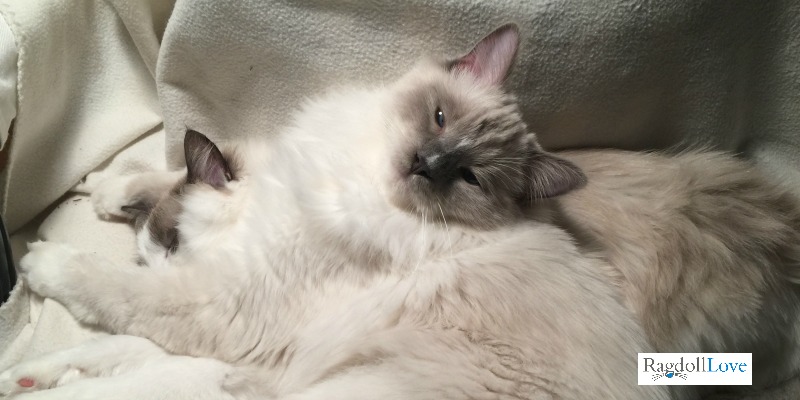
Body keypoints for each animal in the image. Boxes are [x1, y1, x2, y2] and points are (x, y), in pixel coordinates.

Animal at [1, 24, 668, 400]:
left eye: (471, 178)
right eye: (440, 117)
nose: (429, 163)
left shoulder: (220, 305)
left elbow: (111, 291)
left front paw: (40, 262)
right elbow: (166, 175)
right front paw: (104, 187)